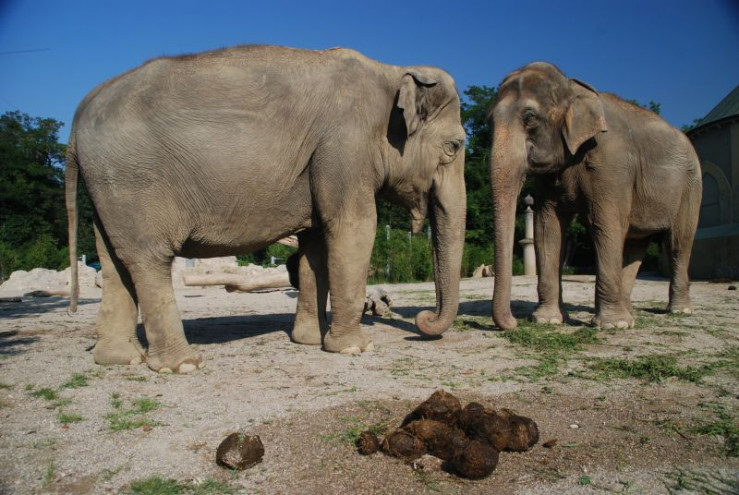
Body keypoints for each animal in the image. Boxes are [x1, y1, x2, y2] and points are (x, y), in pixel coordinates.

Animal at [66, 45, 467, 373]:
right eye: (455, 146)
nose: (423, 320)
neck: (390, 69)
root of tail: (77, 118)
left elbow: (315, 245)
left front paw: (309, 340)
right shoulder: (344, 146)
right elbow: (354, 227)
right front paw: (355, 348)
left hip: (107, 188)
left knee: (113, 261)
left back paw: (120, 359)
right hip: (133, 181)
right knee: (149, 259)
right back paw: (183, 365)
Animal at [489, 62, 701, 330]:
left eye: (530, 118)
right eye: (489, 121)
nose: (513, 322)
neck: (573, 87)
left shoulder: (612, 163)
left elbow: (605, 224)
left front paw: (612, 326)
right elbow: (547, 228)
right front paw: (547, 320)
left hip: (691, 183)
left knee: (679, 241)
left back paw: (678, 311)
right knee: (635, 243)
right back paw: (629, 313)